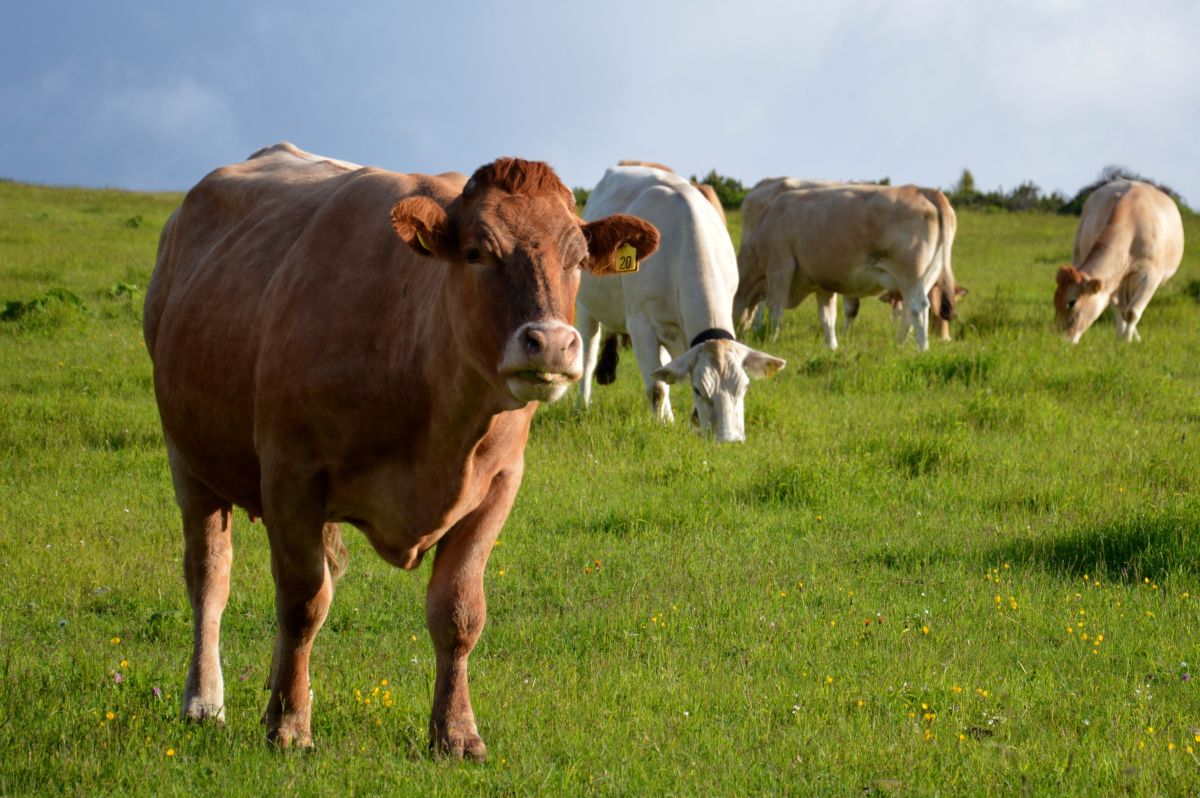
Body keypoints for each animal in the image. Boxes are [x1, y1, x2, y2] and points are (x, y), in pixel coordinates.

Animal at [147, 143, 667, 758]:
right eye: (477, 252)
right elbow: (301, 603)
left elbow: (458, 612)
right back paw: (205, 700)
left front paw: (456, 731)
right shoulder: (290, 477)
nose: (552, 344)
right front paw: (290, 725)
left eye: (579, 258)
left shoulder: (498, 486)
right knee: (209, 576)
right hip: (189, 460)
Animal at [573, 165, 782, 444]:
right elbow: (656, 388)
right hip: (587, 307)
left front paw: (678, 423)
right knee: (588, 353)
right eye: (698, 389)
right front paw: (661, 427)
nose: (729, 440)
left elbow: (665, 375)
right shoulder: (640, 325)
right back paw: (582, 405)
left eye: (744, 386)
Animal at [1056, 178, 1185, 340]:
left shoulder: (1151, 277)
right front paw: (1120, 338)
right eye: (1055, 300)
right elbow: (1118, 310)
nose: (1061, 338)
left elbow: (1132, 312)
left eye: (1071, 303)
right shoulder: (1111, 281)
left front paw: (1127, 340)